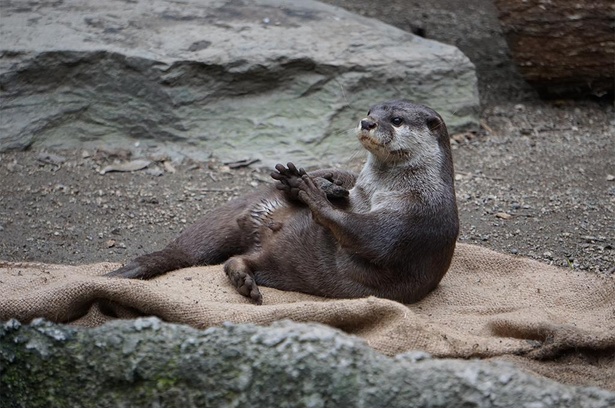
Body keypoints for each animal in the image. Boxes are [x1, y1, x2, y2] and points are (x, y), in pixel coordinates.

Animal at [108, 99, 460, 302]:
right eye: (370, 112)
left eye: (397, 120)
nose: (367, 122)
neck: (379, 189)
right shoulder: (360, 187)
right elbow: (343, 180)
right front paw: (313, 183)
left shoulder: (420, 217)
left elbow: (372, 238)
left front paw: (314, 193)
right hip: (225, 219)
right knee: (185, 252)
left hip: (280, 263)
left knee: (235, 260)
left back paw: (244, 281)